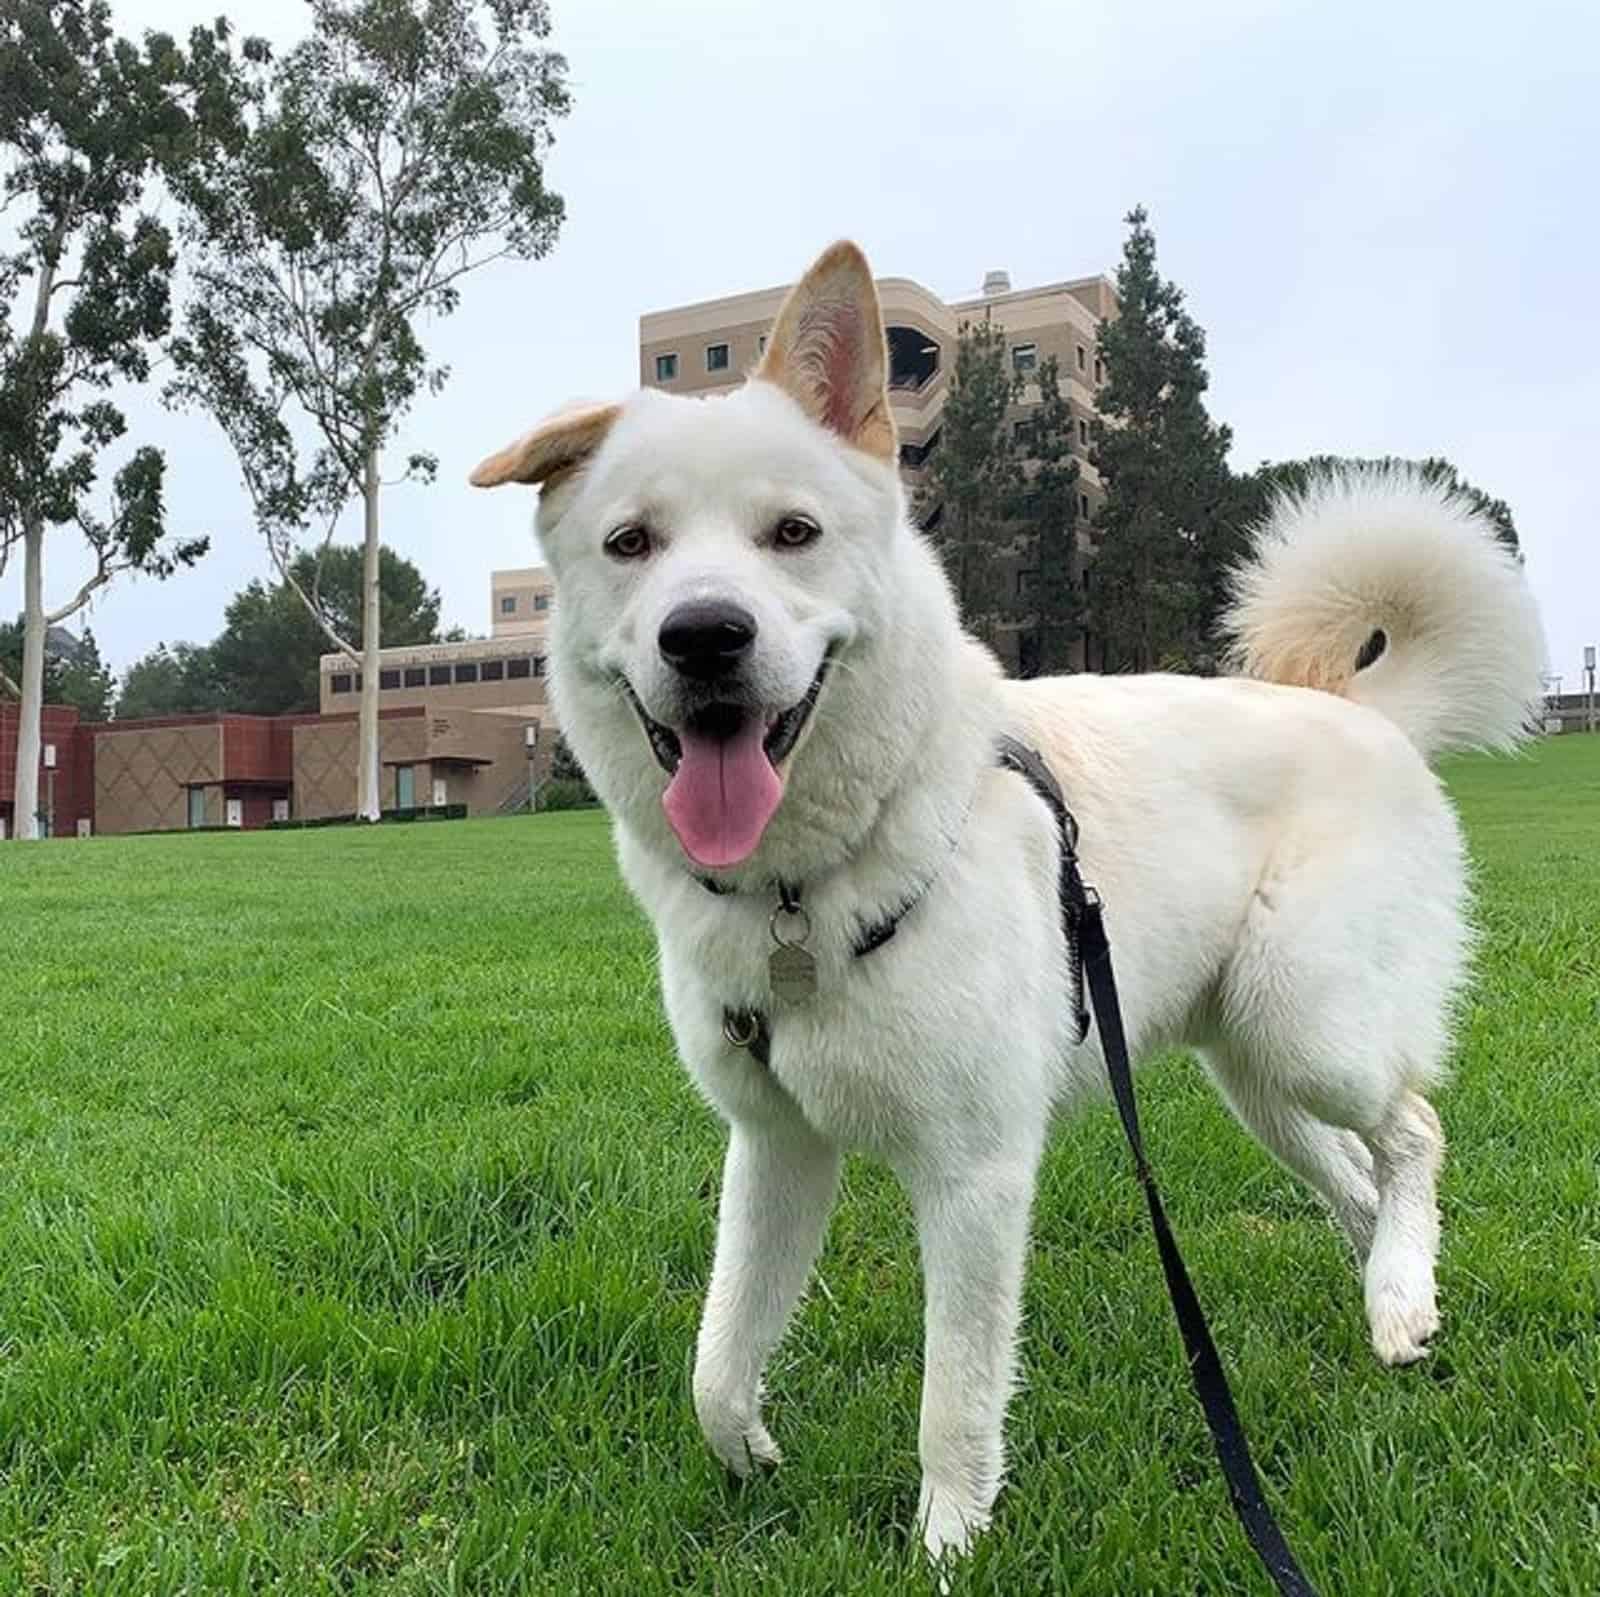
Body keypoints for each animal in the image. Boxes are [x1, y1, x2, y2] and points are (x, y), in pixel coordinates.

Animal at [467, 243, 1542, 1568]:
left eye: (792, 533)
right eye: (630, 543)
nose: (704, 634)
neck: (802, 894)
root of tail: (1361, 709)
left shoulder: (973, 1176)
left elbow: (955, 1393)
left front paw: (946, 1543)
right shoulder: (775, 1147)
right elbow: (716, 1359)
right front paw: (749, 1452)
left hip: (1307, 1028)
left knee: (1415, 1132)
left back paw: (1397, 1287)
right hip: (1249, 1069)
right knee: (1357, 1175)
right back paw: (1396, 1298)